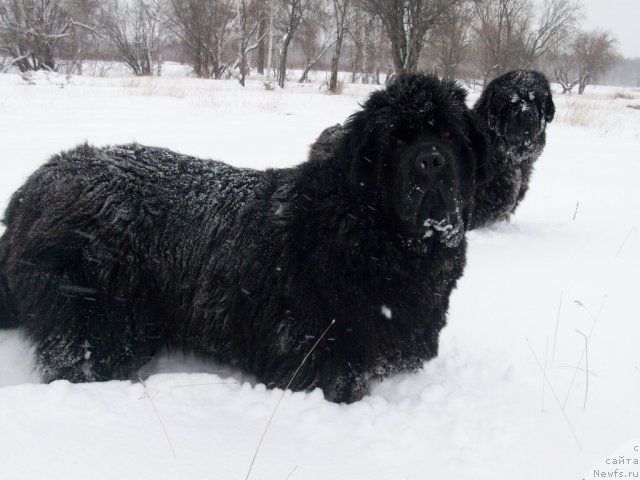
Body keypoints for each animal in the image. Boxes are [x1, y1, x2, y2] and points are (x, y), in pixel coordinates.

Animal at [0, 73, 488, 404]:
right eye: (397, 140)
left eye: (449, 135)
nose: (431, 161)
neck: (369, 230)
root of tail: (34, 186)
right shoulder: (311, 351)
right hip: (96, 314)